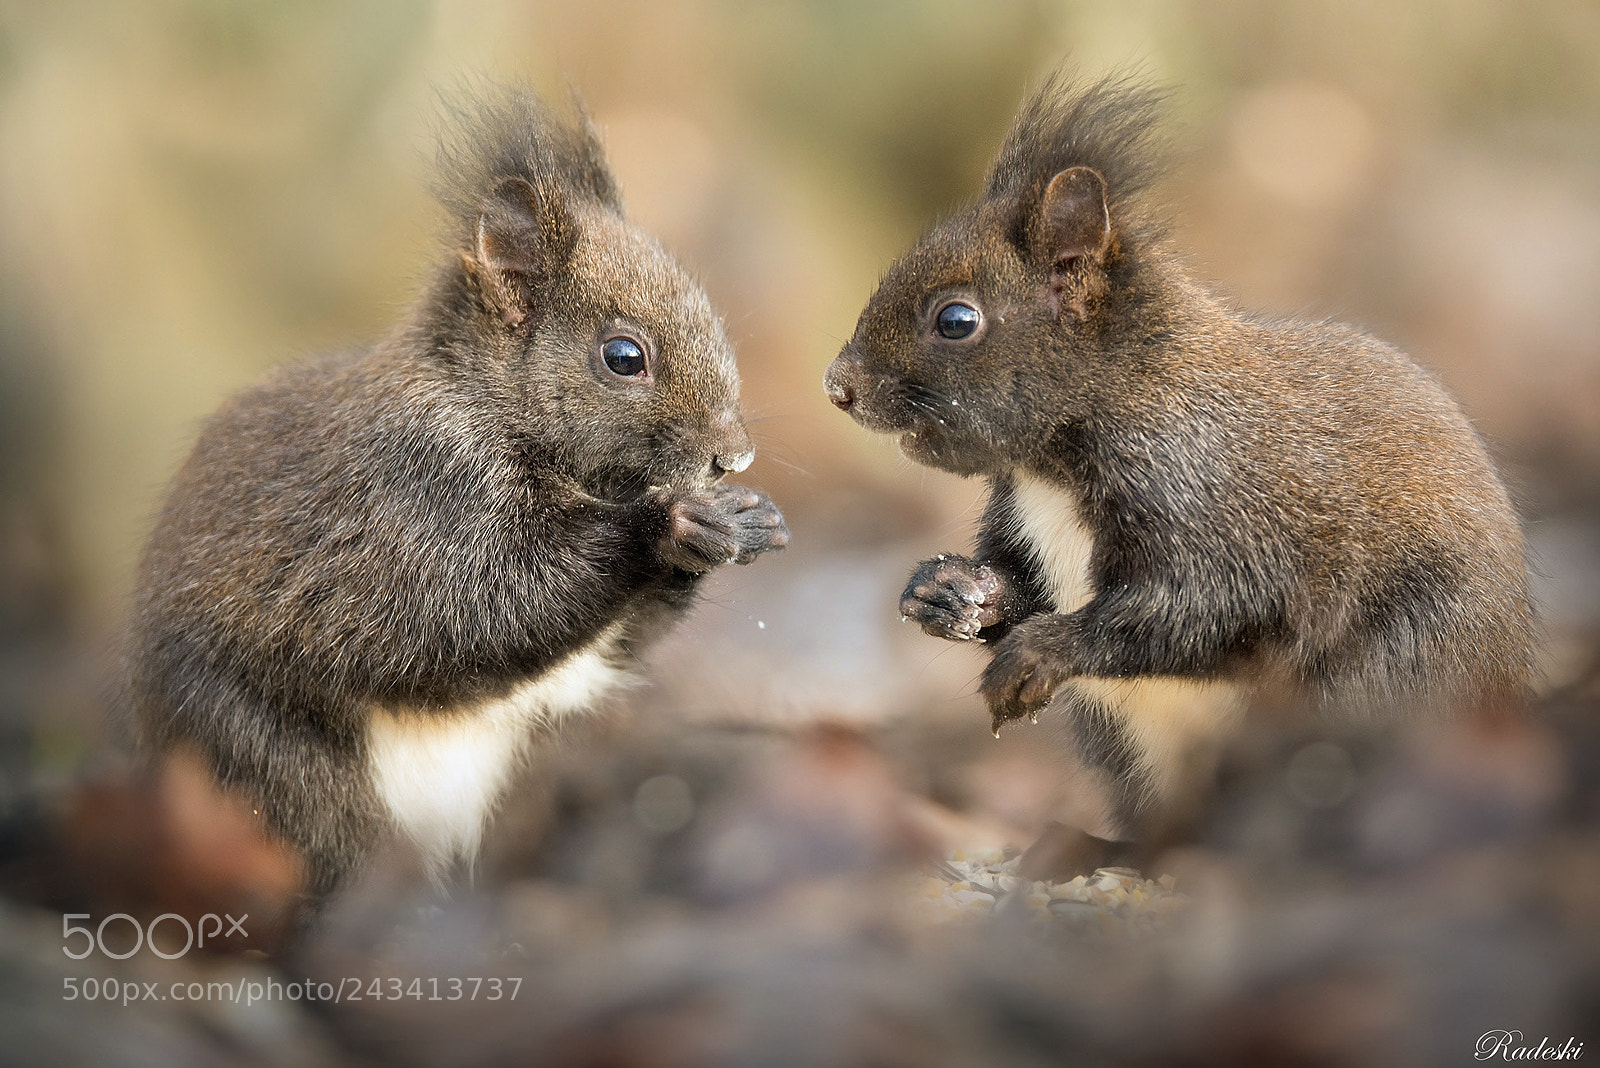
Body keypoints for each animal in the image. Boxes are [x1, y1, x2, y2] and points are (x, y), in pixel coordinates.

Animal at [127, 87, 788, 897]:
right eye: (623, 357)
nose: (735, 454)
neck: (486, 403)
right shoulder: (412, 496)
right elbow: (477, 609)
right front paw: (666, 522)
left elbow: (614, 644)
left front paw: (748, 520)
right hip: (270, 769)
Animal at [824, 72, 1534, 870]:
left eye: (955, 320)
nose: (837, 385)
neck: (1054, 464)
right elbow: (1021, 580)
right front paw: (948, 591)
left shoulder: (1210, 501)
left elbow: (1207, 607)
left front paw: (1034, 652)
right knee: (1167, 835)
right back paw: (1098, 849)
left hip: (1384, 680)